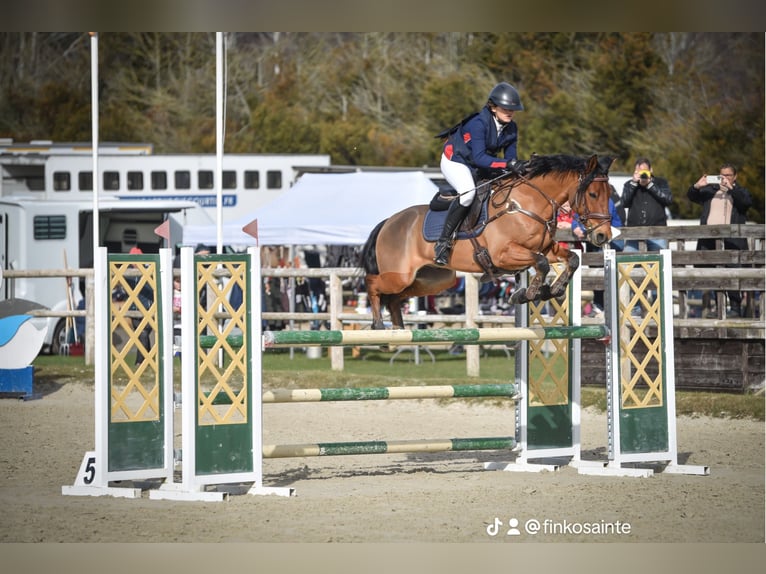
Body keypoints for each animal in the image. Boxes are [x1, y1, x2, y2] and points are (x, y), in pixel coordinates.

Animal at [362, 155, 616, 330]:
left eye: (610, 194)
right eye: (593, 194)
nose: (603, 236)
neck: (527, 203)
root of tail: (388, 222)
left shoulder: (545, 248)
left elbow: (571, 259)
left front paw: (554, 289)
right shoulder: (503, 254)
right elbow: (542, 264)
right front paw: (530, 293)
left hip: (432, 280)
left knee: (395, 299)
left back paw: (398, 328)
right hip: (399, 275)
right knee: (373, 284)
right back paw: (378, 324)